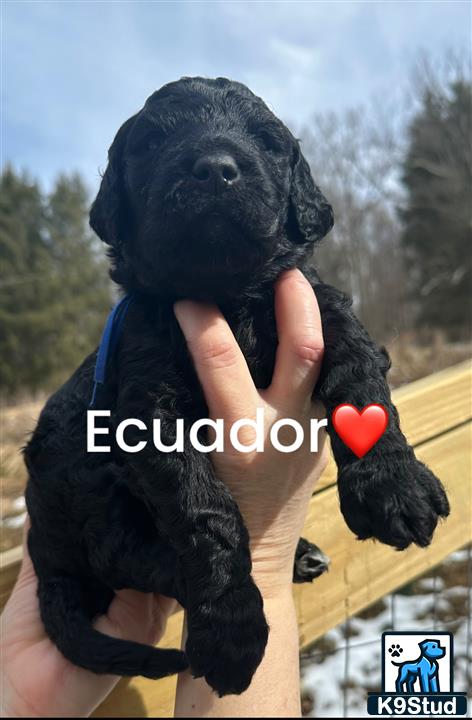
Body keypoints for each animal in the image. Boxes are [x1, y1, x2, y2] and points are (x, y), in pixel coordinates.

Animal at [24, 79, 450, 696]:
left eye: (267, 141)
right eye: (151, 142)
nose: (214, 170)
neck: (228, 295)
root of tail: (40, 545)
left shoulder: (320, 305)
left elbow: (361, 374)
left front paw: (394, 487)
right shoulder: (150, 405)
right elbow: (204, 513)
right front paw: (231, 631)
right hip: (91, 490)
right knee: (137, 556)